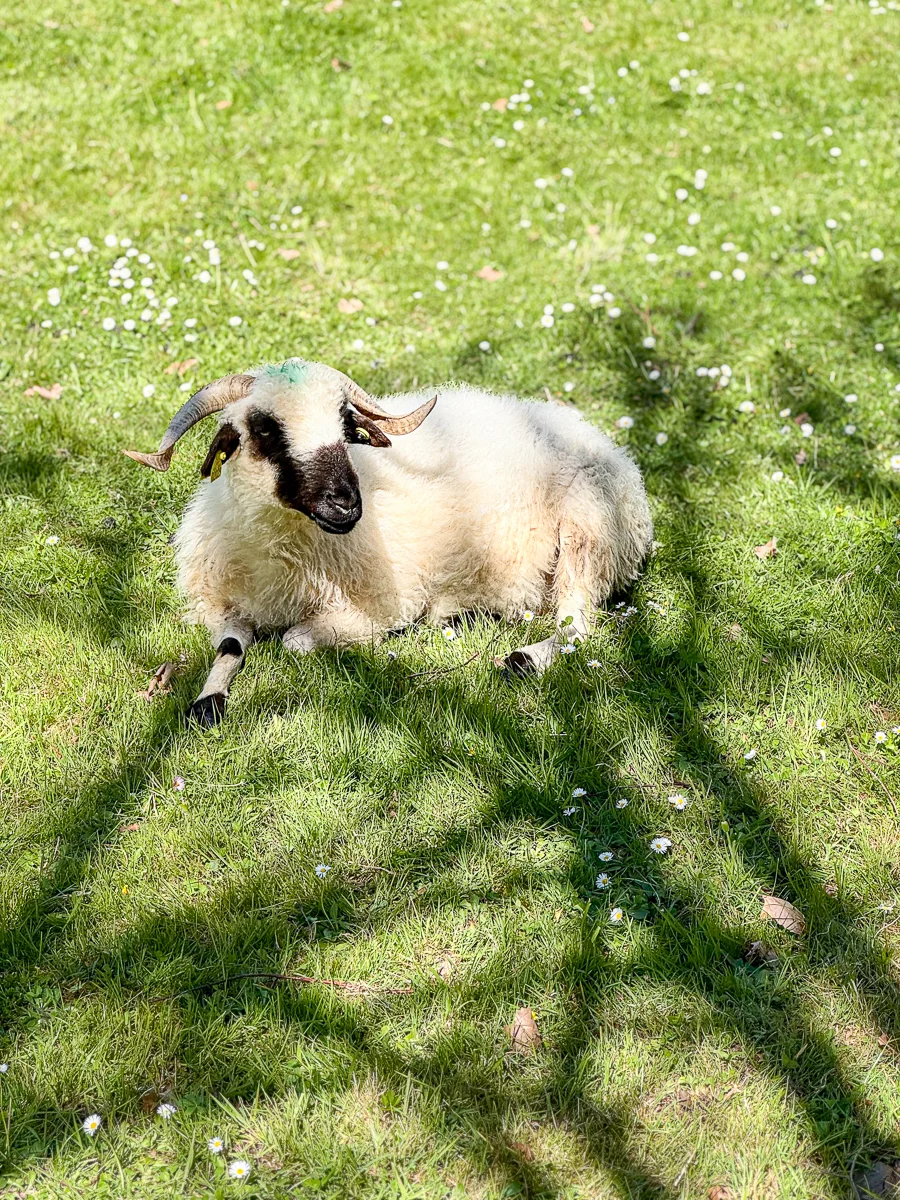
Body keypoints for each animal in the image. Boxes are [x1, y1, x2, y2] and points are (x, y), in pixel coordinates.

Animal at [124, 358, 653, 725]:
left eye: (345, 425)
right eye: (264, 429)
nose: (346, 504)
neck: (278, 559)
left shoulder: (384, 605)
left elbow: (295, 641)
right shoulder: (217, 601)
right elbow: (232, 644)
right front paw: (206, 702)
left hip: (589, 530)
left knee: (577, 624)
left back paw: (521, 659)